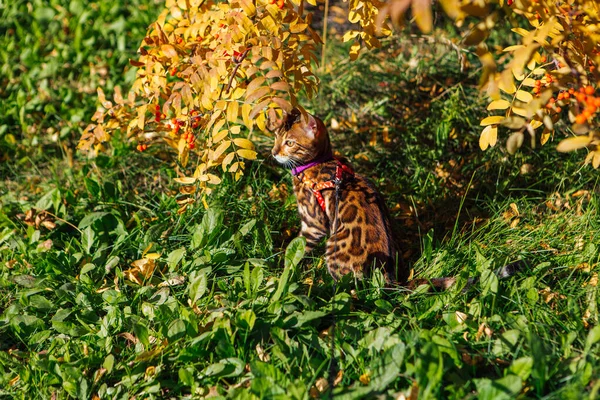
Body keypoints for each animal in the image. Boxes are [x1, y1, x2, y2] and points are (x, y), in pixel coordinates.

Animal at [270, 108, 408, 282]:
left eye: (289, 143)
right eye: (276, 137)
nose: (273, 152)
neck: (316, 163)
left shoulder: (313, 224)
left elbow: (298, 247)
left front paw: (284, 270)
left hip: (333, 247)